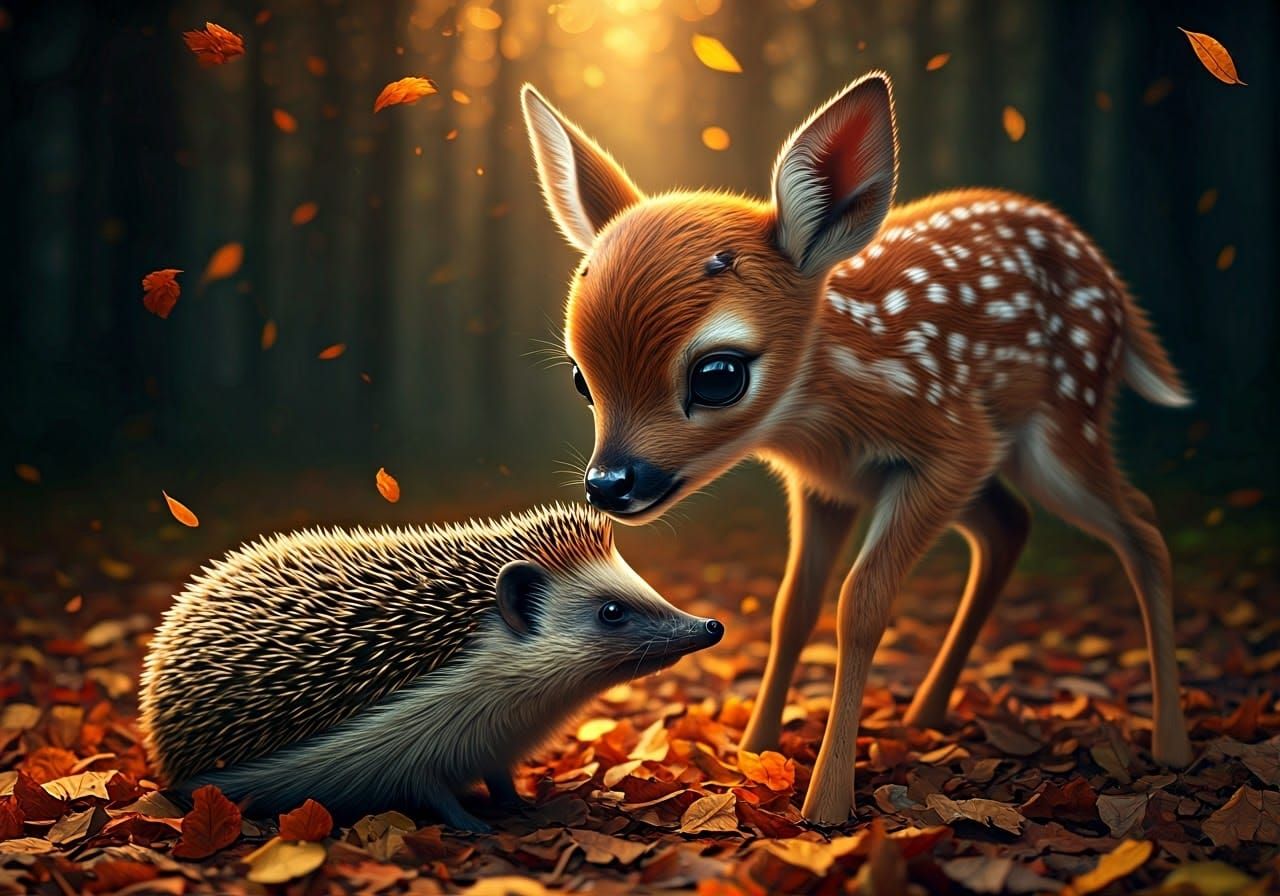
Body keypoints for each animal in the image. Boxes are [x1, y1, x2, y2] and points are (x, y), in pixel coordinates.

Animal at [520, 71, 1194, 824]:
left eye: (718, 375)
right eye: (581, 378)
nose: (608, 483)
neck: (828, 408)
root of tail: (1114, 286)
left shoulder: (954, 443)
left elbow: (861, 604)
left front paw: (827, 802)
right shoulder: (828, 485)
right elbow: (793, 607)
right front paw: (752, 749)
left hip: (1061, 423)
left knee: (1140, 524)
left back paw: (1171, 745)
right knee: (1010, 525)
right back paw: (926, 714)